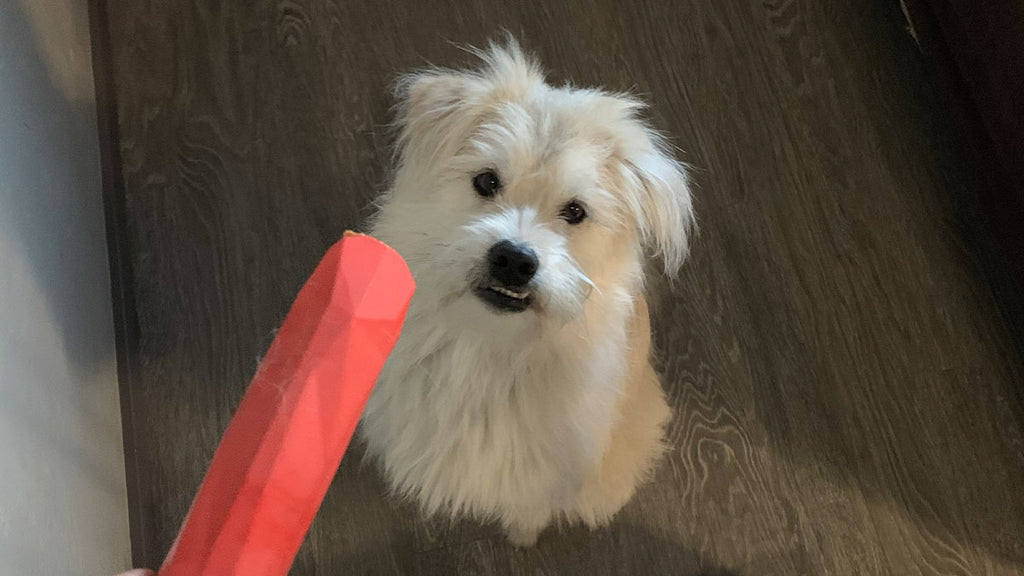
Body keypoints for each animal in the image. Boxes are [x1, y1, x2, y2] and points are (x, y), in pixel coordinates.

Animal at [360, 39, 696, 541]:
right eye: (486, 181)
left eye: (575, 212)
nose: (514, 260)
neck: (487, 350)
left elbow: (529, 507)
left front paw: (523, 534)